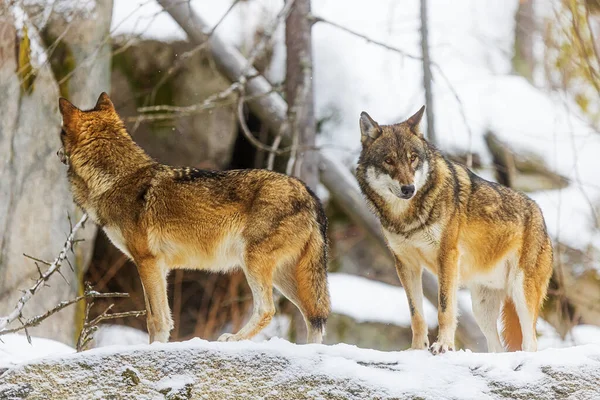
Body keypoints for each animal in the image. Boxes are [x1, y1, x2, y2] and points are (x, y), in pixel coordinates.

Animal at [58, 93, 330, 344]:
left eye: (60, 132)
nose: (58, 152)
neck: (116, 179)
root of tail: (308, 192)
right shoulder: (159, 266)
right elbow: (163, 317)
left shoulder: (147, 261)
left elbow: (155, 319)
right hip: (286, 276)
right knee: (313, 316)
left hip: (254, 263)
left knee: (268, 310)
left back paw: (232, 339)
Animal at [356, 105, 552, 354]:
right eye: (388, 160)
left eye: (413, 158)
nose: (408, 188)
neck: (407, 218)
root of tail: (539, 214)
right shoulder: (406, 265)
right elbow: (416, 314)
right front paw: (416, 349)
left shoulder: (447, 256)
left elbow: (445, 309)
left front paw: (444, 345)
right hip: (481, 307)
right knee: (497, 347)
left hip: (521, 293)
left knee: (531, 342)